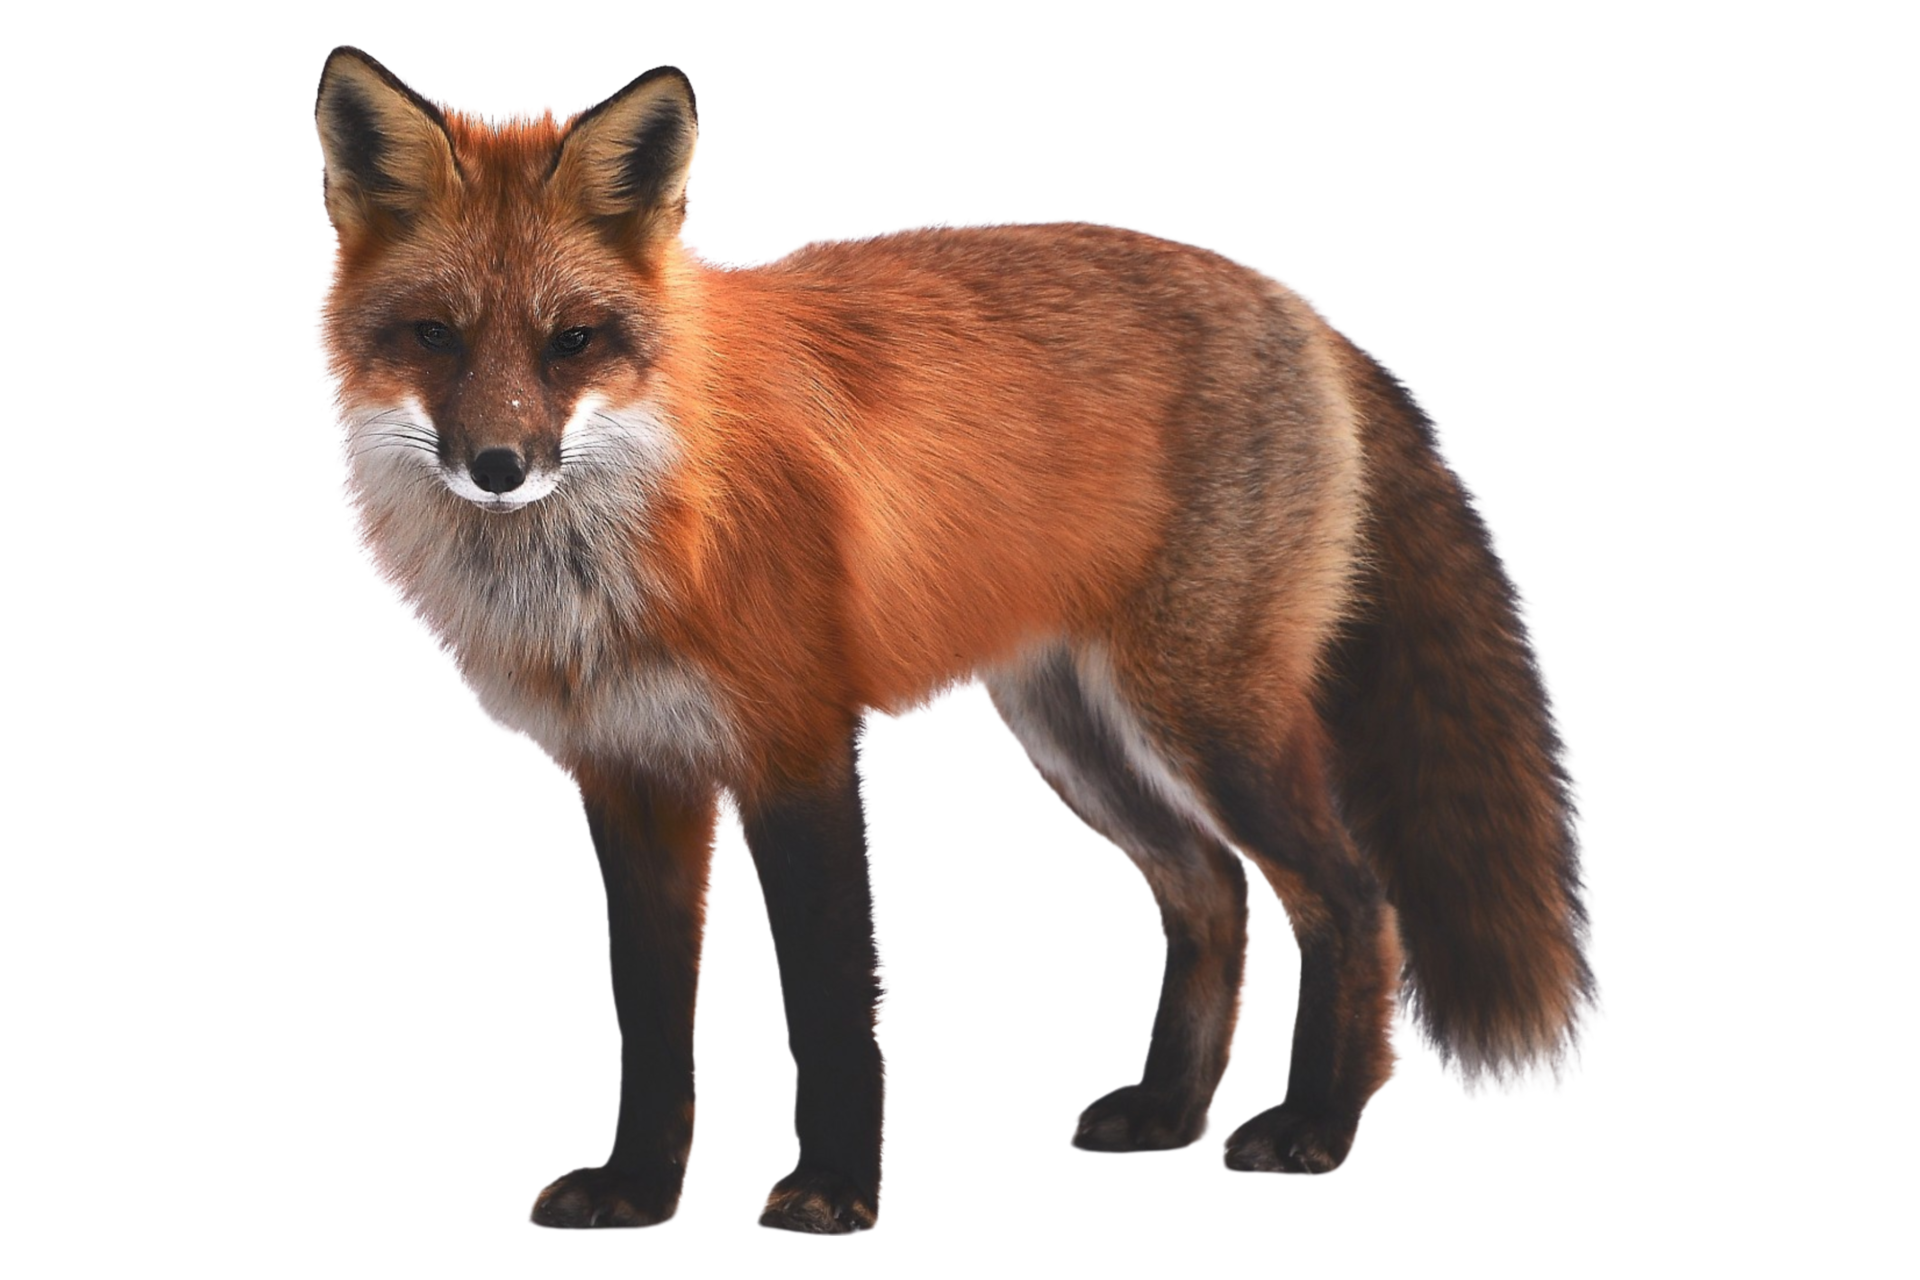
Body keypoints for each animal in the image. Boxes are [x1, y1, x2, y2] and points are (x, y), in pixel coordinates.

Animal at [312, 46, 1602, 1235]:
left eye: (572, 341)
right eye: (434, 335)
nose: (499, 465)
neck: (634, 533)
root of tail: (1309, 312)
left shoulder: (798, 744)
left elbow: (831, 989)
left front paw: (836, 1188)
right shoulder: (630, 774)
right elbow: (654, 1013)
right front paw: (638, 1188)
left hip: (1206, 722)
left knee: (1352, 897)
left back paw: (1316, 1126)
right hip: (1081, 736)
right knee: (1210, 893)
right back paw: (1170, 1111)